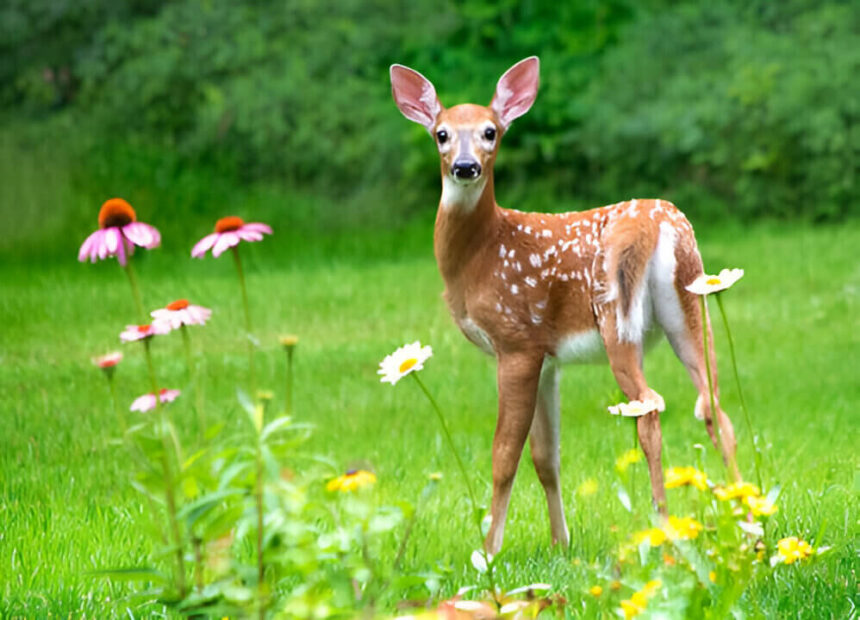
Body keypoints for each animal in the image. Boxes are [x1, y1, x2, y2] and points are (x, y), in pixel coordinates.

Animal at [390, 55, 740, 556]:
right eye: (441, 133)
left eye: (490, 131)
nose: (465, 166)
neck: (480, 254)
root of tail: (658, 225)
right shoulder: (548, 357)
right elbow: (545, 456)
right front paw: (560, 542)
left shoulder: (516, 340)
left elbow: (504, 453)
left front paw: (489, 551)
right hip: (691, 305)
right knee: (713, 407)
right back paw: (748, 520)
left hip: (616, 316)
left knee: (651, 407)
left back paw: (664, 528)